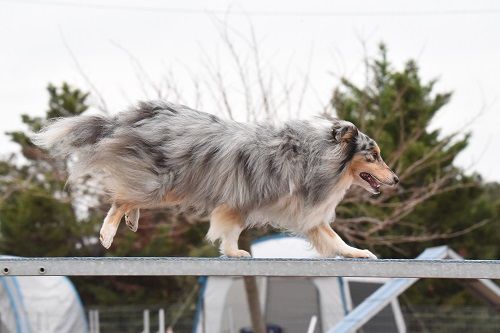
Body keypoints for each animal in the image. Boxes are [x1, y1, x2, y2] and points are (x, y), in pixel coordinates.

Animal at [32, 100, 398, 258]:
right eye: (374, 155)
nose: (395, 179)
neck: (316, 156)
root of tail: (133, 117)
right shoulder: (242, 200)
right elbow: (230, 229)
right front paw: (235, 253)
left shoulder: (307, 214)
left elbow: (334, 240)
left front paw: (359, 254)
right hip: (164, 183)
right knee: (120, 198)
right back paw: (107, 235)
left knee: (127, 197)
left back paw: (132, 221)